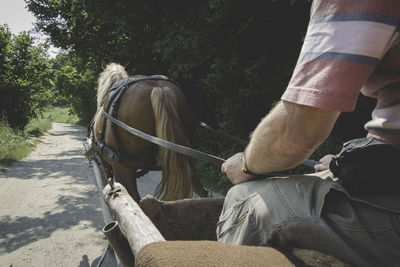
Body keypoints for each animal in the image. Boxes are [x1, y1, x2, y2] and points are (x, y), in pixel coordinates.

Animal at [92, 62, 208, 203]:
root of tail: (159, 88)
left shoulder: (105, 164)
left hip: (122, 167)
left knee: (134, 198)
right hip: (185, 157)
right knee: (201, 190)